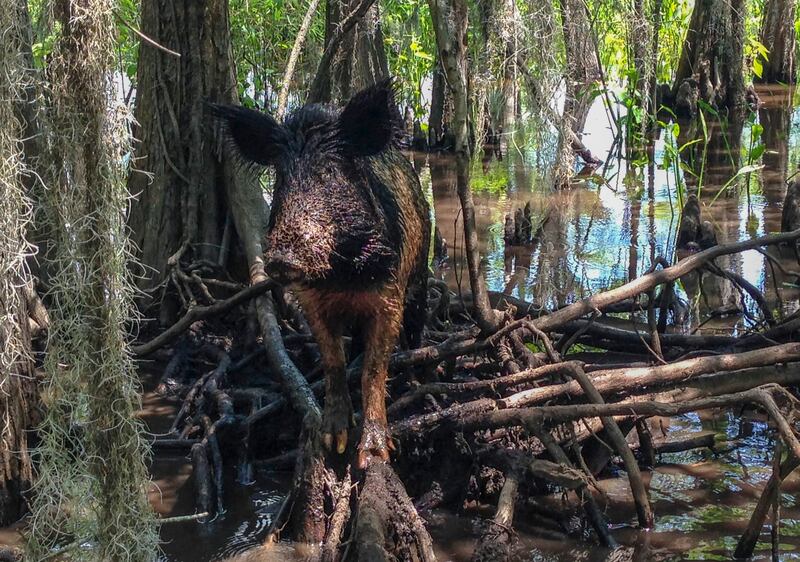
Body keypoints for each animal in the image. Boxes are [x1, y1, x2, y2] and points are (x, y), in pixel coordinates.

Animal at [210, 79, 431, 467]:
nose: (280, 258)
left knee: (416, 323)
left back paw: (415, 372)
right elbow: (332, 361)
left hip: (422, 272)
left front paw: (373, 455)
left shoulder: (389, 294)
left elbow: (374, 369)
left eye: (329, 174)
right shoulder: (312, 301)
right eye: (281, 178)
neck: (341, 275)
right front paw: (333, 442)